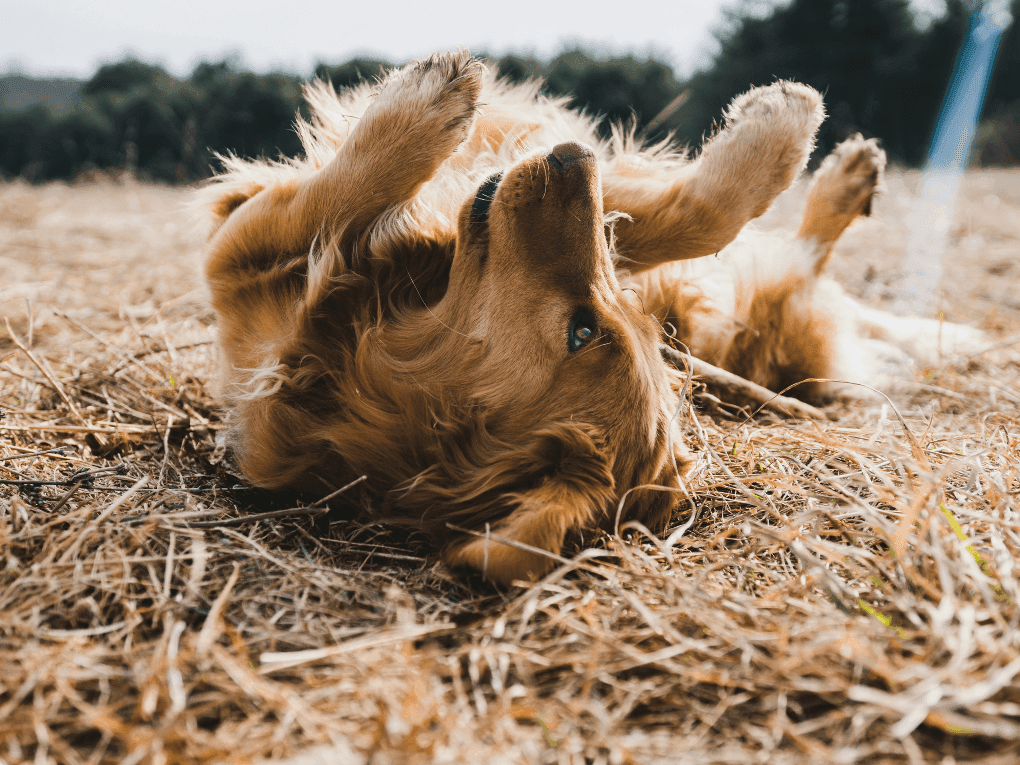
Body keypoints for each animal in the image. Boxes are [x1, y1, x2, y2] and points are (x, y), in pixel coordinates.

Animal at [200, 51, 979, 583]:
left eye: (587, 329)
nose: (575, 155)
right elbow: (689, 216)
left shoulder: (239, 258)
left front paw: (420, 111)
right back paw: (850, 175)